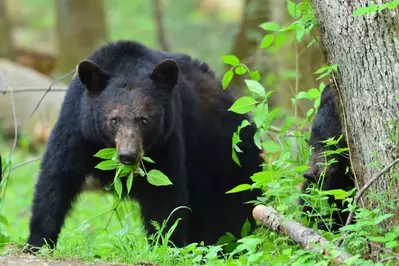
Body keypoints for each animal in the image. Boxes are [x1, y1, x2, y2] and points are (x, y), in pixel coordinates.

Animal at [25, 40, 262, 252]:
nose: (128, 155)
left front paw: (167, 247)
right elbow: (56, 177)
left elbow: (165, 194)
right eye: (114, 119)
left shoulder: (166, 140)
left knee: (228, 215)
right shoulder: (77, 126)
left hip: (227, 161)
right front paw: (37, 242)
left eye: (144, 119)